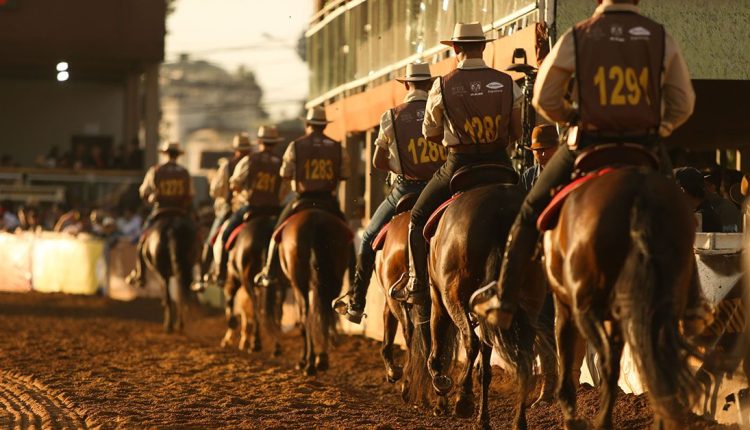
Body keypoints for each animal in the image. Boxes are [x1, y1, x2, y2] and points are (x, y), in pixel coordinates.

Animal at [222, 212, 286, 356]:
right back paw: (276, 346)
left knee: (256, 309)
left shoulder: (233, 279)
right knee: (277, 312)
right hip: (280, 283)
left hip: (248, 281)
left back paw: (255, 343)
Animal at [280, 207, 352, 374]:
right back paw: (322, 359)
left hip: (299, 284)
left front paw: (302, 360)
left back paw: (310, 363)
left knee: (307, 317)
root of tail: (314, 222)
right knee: (325, 313)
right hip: (334, 281)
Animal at [544, 168, 704, 430]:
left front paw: (571, 416)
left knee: (608, 361)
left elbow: (567, 354)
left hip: (586, 309)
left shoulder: (567, 306)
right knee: (657, 361)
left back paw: (598, 421)